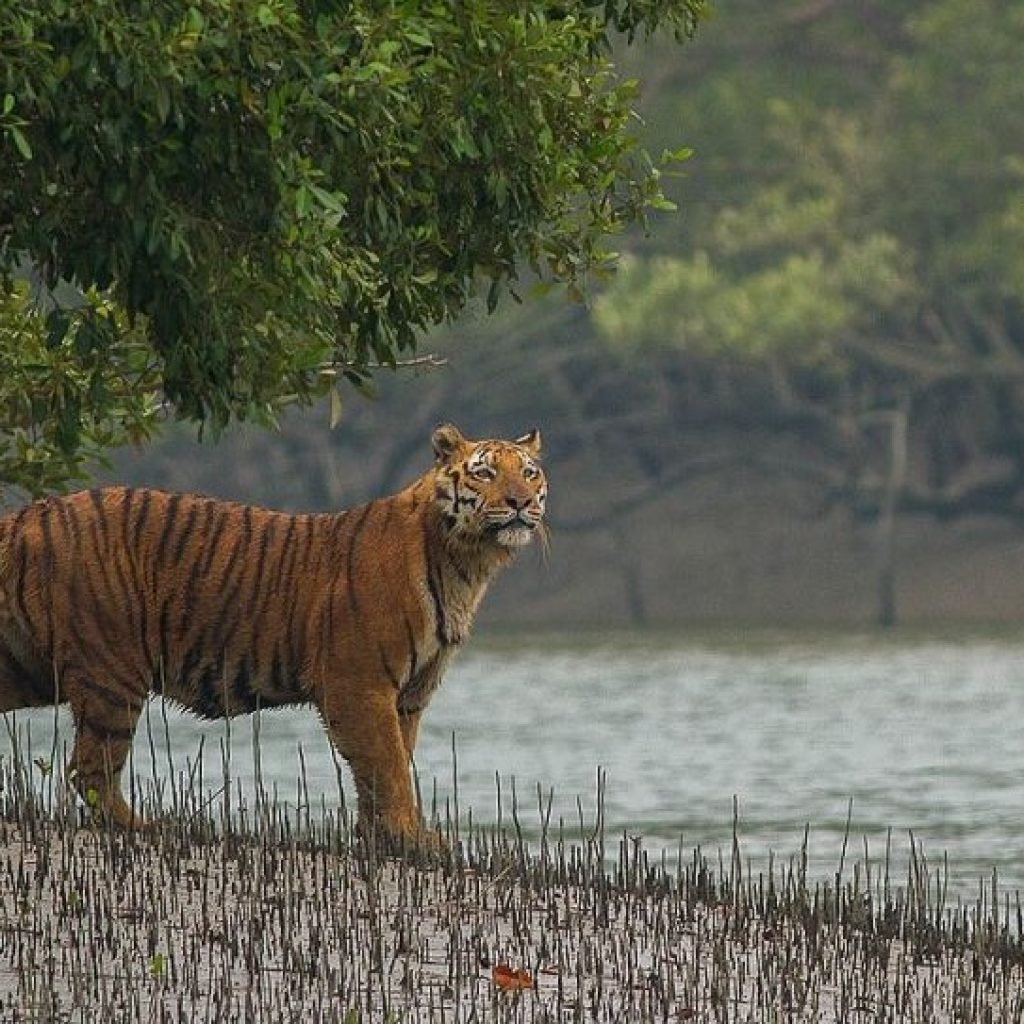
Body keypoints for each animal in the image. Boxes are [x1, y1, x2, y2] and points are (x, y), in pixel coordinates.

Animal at [0, 423, 547, 849]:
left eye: (529, 472)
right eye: (485, 472)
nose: (520, 503)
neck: (467, 563)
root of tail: (32, 514)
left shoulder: (409, 696)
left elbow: (390, 764)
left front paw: (382, 838)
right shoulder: (360, 685)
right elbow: (388, 765)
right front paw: (412, 839)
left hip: (26, 668)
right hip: (113, 673)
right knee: (90, 769)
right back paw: (150, 827)